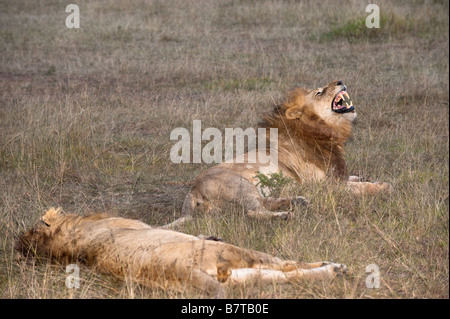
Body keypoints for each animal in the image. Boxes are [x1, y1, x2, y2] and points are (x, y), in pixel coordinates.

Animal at [16, 209, 348, 298]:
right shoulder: (141, 224)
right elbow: (173, 223)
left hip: (238, 277)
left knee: (285, 277)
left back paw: (333, 271)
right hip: (235, 254)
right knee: (288, 265)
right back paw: (335, 267)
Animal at [166, 81, 394, 229]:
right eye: (319, 92)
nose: (340, 81)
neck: (323, 130)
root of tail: (191, 196)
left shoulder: (336, 176)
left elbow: (354, 178)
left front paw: (365, 177)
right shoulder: (325, 186)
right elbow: (363, 188)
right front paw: (384, 186)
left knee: (263, 202)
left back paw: (298, 201)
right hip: (240, 184)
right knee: (253, 211)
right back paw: (285, 215)